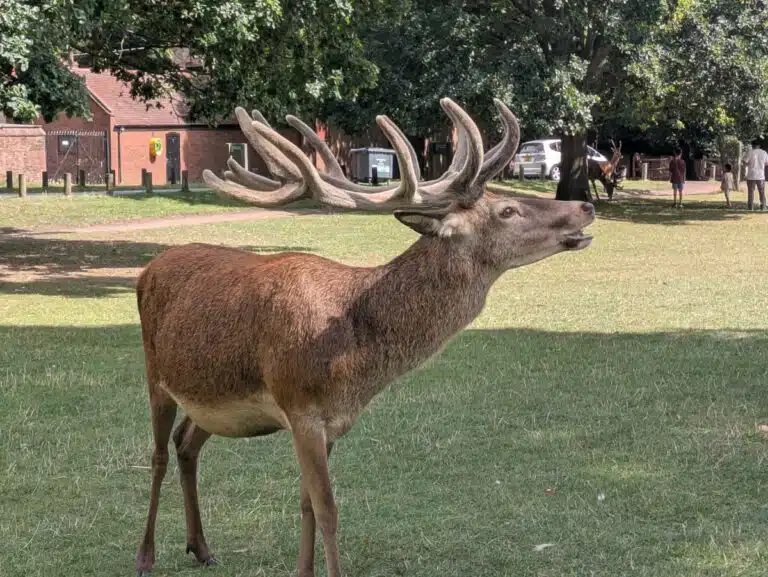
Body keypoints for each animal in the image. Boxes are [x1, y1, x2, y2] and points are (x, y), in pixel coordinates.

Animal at [134, 97, 596, 577]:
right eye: (506, 211)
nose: (585, 207)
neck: (355, 358)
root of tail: (149, 269)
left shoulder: (334, 422)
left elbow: (306, 504)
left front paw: (302, 571)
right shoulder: (300, 407)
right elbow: (328, 510)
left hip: (211, 403)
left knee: (186, 444)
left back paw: (201, 547)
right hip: (154, 372)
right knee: (158, 454)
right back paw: (146, 555)